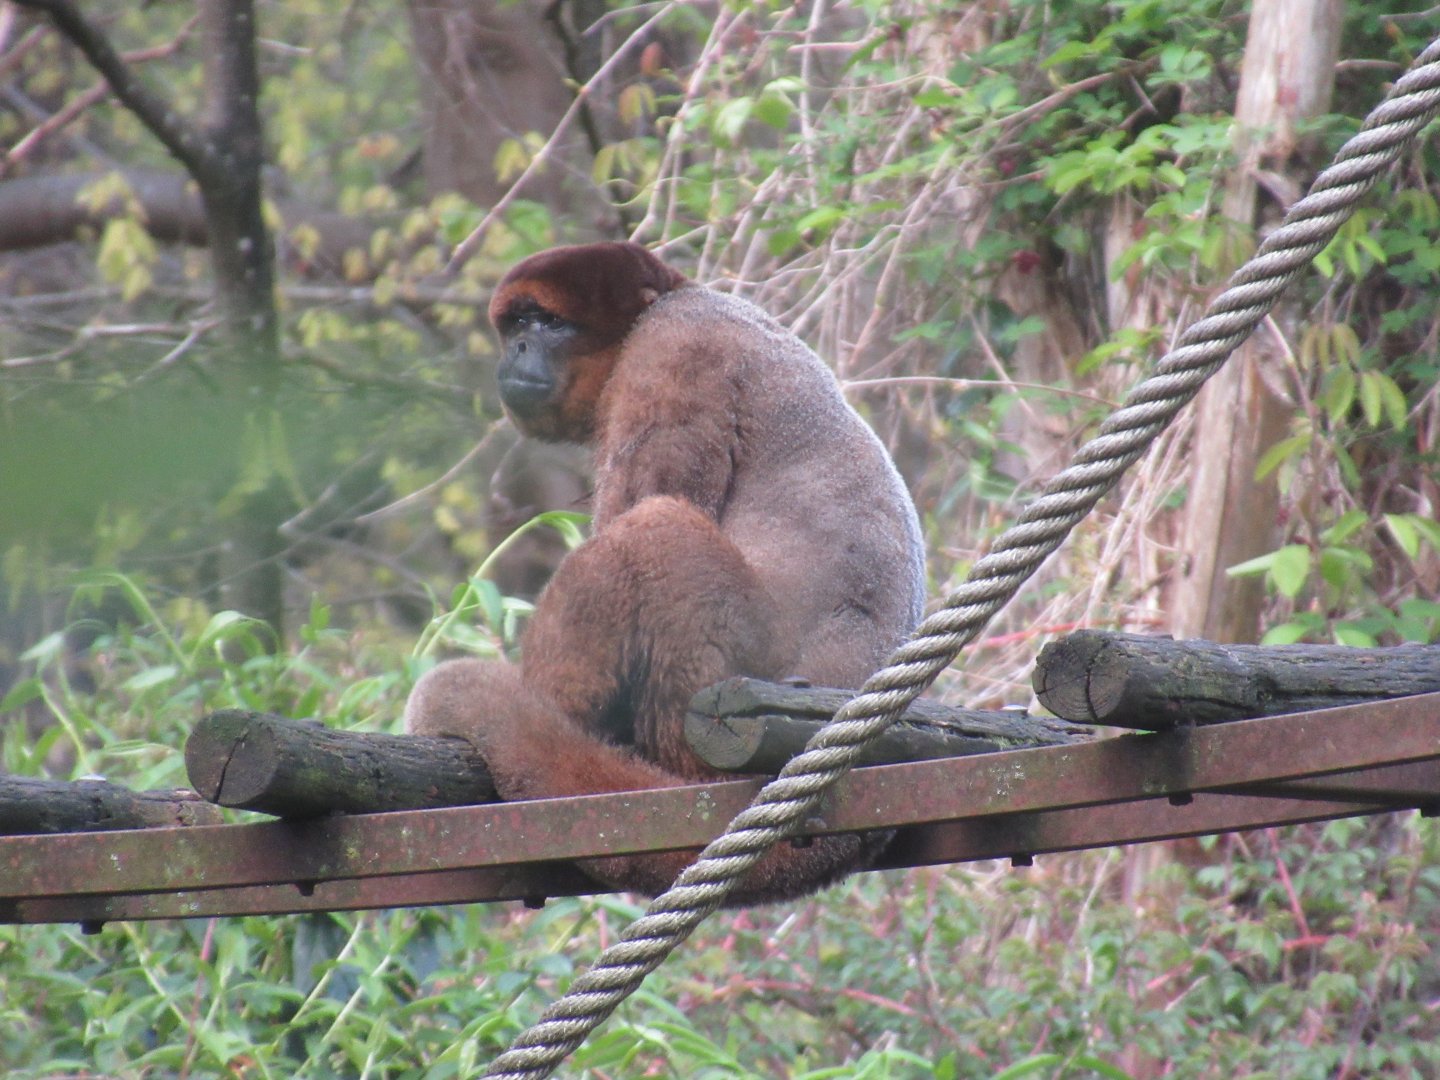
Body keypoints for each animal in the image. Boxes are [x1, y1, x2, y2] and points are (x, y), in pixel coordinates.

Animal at [404, 241, 925, 905]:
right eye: (518, 324)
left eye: (550, 324)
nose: (517, 349)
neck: (675, 296)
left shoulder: (670, 356)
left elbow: (648, 501)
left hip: (724, 672)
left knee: (657, 527)